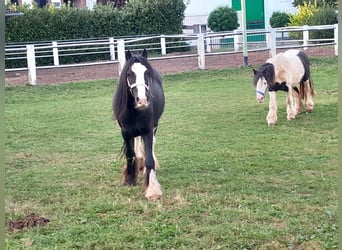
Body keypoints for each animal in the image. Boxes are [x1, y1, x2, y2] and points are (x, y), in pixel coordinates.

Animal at [113, 49, 165, 201]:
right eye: (129, 74)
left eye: (147, 73)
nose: (141, 100)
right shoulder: (125, 132)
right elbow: (130, 155)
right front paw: (130, 179)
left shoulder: (148, 130)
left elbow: (150, 160)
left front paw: (152, 189)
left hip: (155, 125)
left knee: (152, 145)